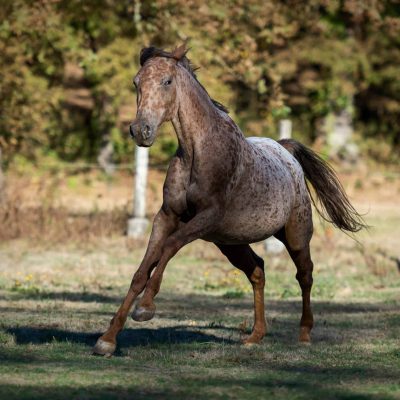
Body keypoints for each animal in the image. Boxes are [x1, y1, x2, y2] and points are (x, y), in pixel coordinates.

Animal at [92, 43, 364, 356]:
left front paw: (145, 309)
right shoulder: (167, 215)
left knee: (304, 274)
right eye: (136, 82)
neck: (198, 152)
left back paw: (305, 333)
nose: (141, 131)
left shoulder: (206, 217)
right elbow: (142, 270)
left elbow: (169, 247)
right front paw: (107, 339)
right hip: (230, 242)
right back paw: (255, 335)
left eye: (167, 81)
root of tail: (285, 150)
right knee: (257, 270)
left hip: (295, 234)